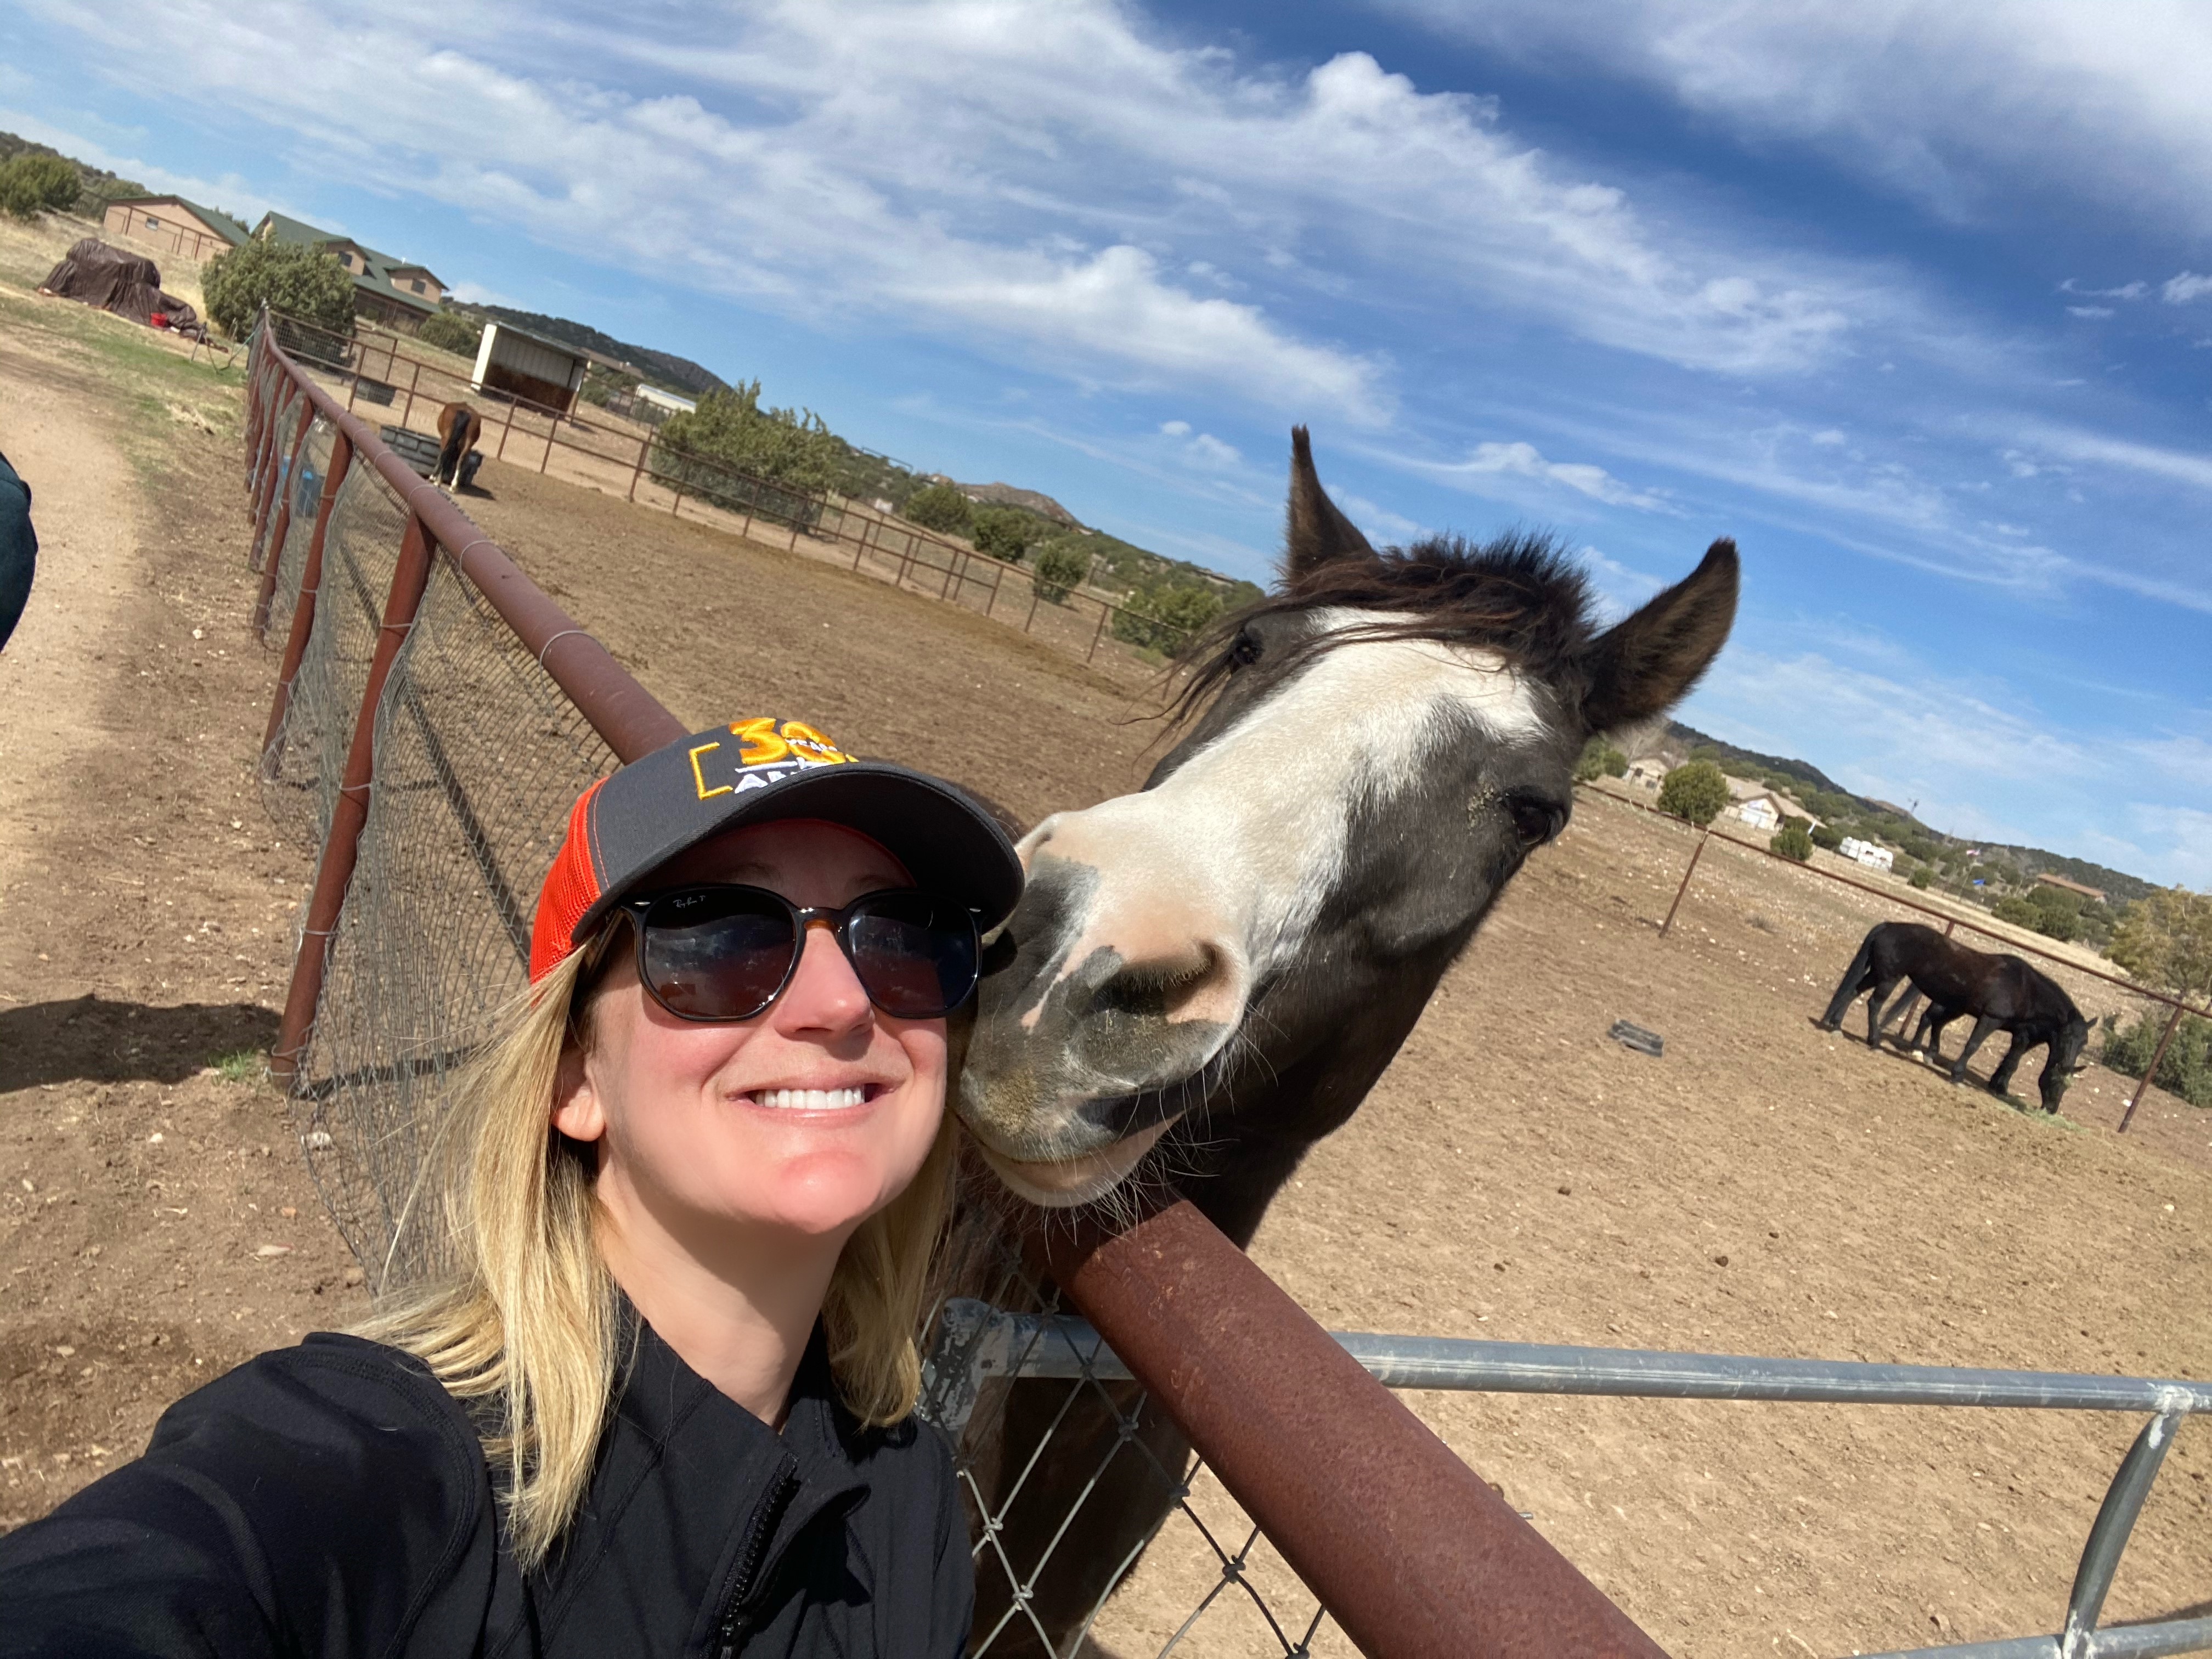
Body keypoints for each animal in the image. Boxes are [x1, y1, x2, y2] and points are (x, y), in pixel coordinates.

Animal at [431, 407, 479, 491]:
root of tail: (465, 413)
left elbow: (440, 457)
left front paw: (433, 477)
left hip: (446, 439)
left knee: (446, 455)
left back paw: (438, 482)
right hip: (467, 445)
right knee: (460, 460)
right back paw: (453, 486)